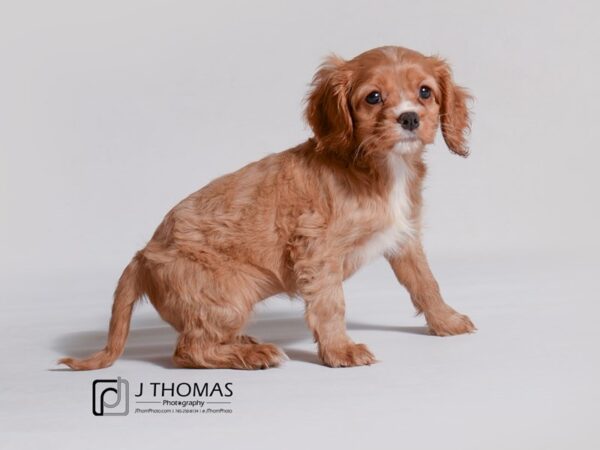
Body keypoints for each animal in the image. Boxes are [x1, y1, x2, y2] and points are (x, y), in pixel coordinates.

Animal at [59, 44, 474, 370]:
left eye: (425, 92)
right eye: (373, 97)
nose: (410, 118)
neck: (383, 168)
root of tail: (142, 258)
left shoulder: (404, 238)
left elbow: (425, 283)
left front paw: (447, 321)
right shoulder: (317, 249)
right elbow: (331, 303)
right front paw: (340, 351)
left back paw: (245, 343)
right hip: (227, 298)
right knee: (188, 350)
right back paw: (251, 355)